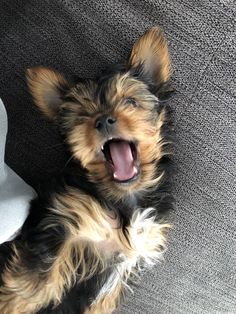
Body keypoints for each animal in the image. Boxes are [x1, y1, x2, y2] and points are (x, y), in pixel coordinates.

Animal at [0, 27, 173, 314]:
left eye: (130, 102)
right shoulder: (62, 227)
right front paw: (12, 305)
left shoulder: (124, 265)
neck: (122, 199)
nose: (103, 120)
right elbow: (29, 287)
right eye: (82, 116)